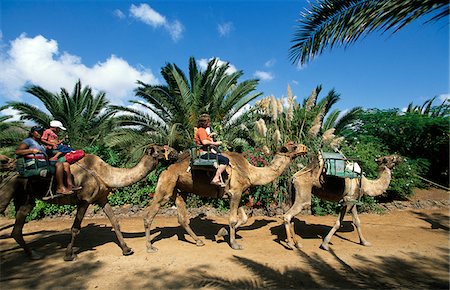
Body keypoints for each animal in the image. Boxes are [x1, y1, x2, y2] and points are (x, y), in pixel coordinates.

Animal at [0, 145, 179, 260]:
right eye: (161, 149)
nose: (176, 152)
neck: (105, 174)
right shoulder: (85, 200)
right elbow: (75, 228)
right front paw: (69, 255)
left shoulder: (102, 198)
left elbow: (115, 222)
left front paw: (126, 249)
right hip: (10, 189)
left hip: (25, 197)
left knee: (17, 227)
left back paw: (33, 254)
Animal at [142, 142, 308, 253]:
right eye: (293, 146)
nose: (305, 147)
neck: (251, 172)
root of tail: (165, 170)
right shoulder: (236, 192)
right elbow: (233, 219)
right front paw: (234, 244)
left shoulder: (236, 194)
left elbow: (243, 218)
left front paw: (222, 233)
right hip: (166, 186)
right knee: (149, 215)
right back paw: (150, 247)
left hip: (180, 190)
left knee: (182, 218)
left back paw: (198, 241)